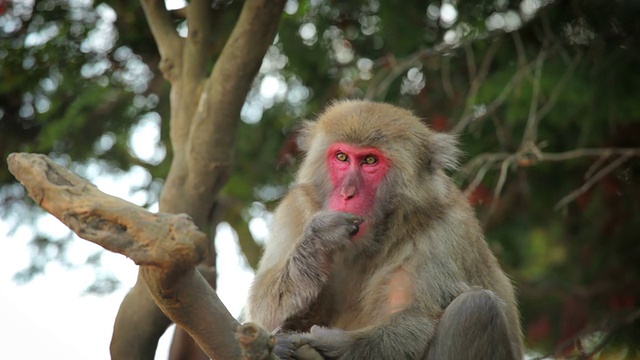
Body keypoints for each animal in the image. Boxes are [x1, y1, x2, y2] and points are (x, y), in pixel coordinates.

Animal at [245, 99, 524, 360]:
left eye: (370, 160)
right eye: (342, 157)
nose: (347, 194)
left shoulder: (445, 228)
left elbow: (416, 318)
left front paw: (331, 343)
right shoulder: (295, 208)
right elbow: (262, 309)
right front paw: (318, 239)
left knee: (477, 307)